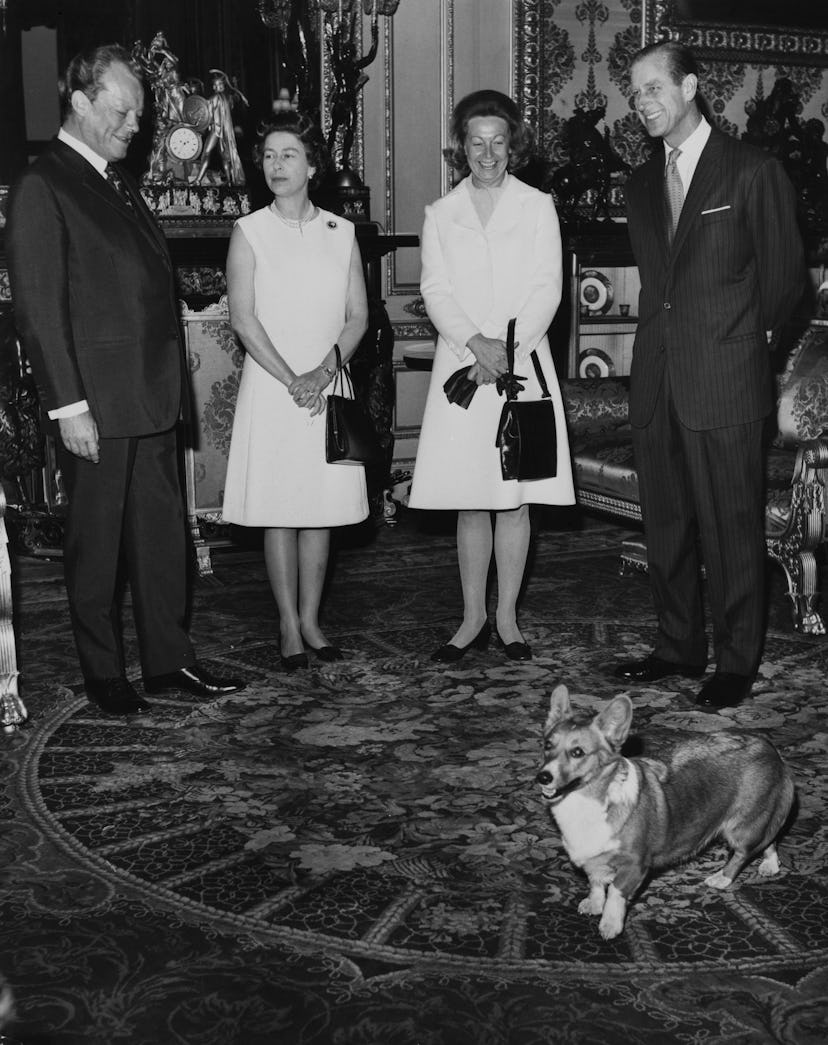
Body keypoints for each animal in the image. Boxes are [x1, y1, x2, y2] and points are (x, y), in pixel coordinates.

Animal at [535, 685, 794, 940]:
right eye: (547, 745)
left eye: (578, 752)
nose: (543, 777)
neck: (587, 800)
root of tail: (770, 748)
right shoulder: (593, 860)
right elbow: (596, 883)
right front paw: (594, 904)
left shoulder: (634, 866)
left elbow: (615, 894)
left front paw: (610, 925)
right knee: (769, 839)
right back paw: (770, 865)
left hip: (742, 826)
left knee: (744, 851)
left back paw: (722, 877)